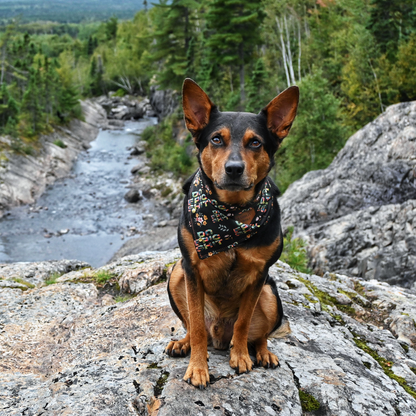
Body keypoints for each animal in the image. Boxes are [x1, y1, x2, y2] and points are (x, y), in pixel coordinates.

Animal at [166, 79, 300, 390]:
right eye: (216, 139)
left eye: (255, 142)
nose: (234, 169)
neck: (230, 214)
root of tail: (219, 335)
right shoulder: (191, 268)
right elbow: (196, 324)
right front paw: (198, 368)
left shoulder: (260, 273)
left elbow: (243, 321)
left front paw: (240, 357)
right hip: (176, 274)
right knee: (194, 326)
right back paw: (184, 343)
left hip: (271, 295)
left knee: (259, 334)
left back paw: (262, 353)